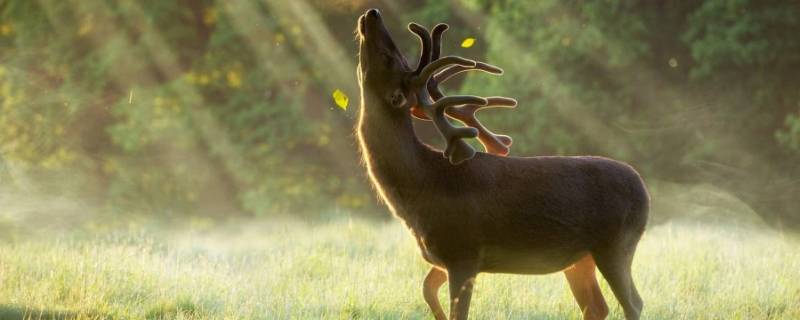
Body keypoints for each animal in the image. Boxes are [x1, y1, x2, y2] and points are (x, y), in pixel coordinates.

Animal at [356, 8, 648, 318]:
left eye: (390, 57)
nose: (372, 13)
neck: (421, 186)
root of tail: (644, 190)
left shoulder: (463, 251)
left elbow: (457, 310)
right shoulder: (442, 257)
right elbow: (426, 289)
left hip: (616, 243)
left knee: (633, 302)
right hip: (580, 258)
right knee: (597, 305)